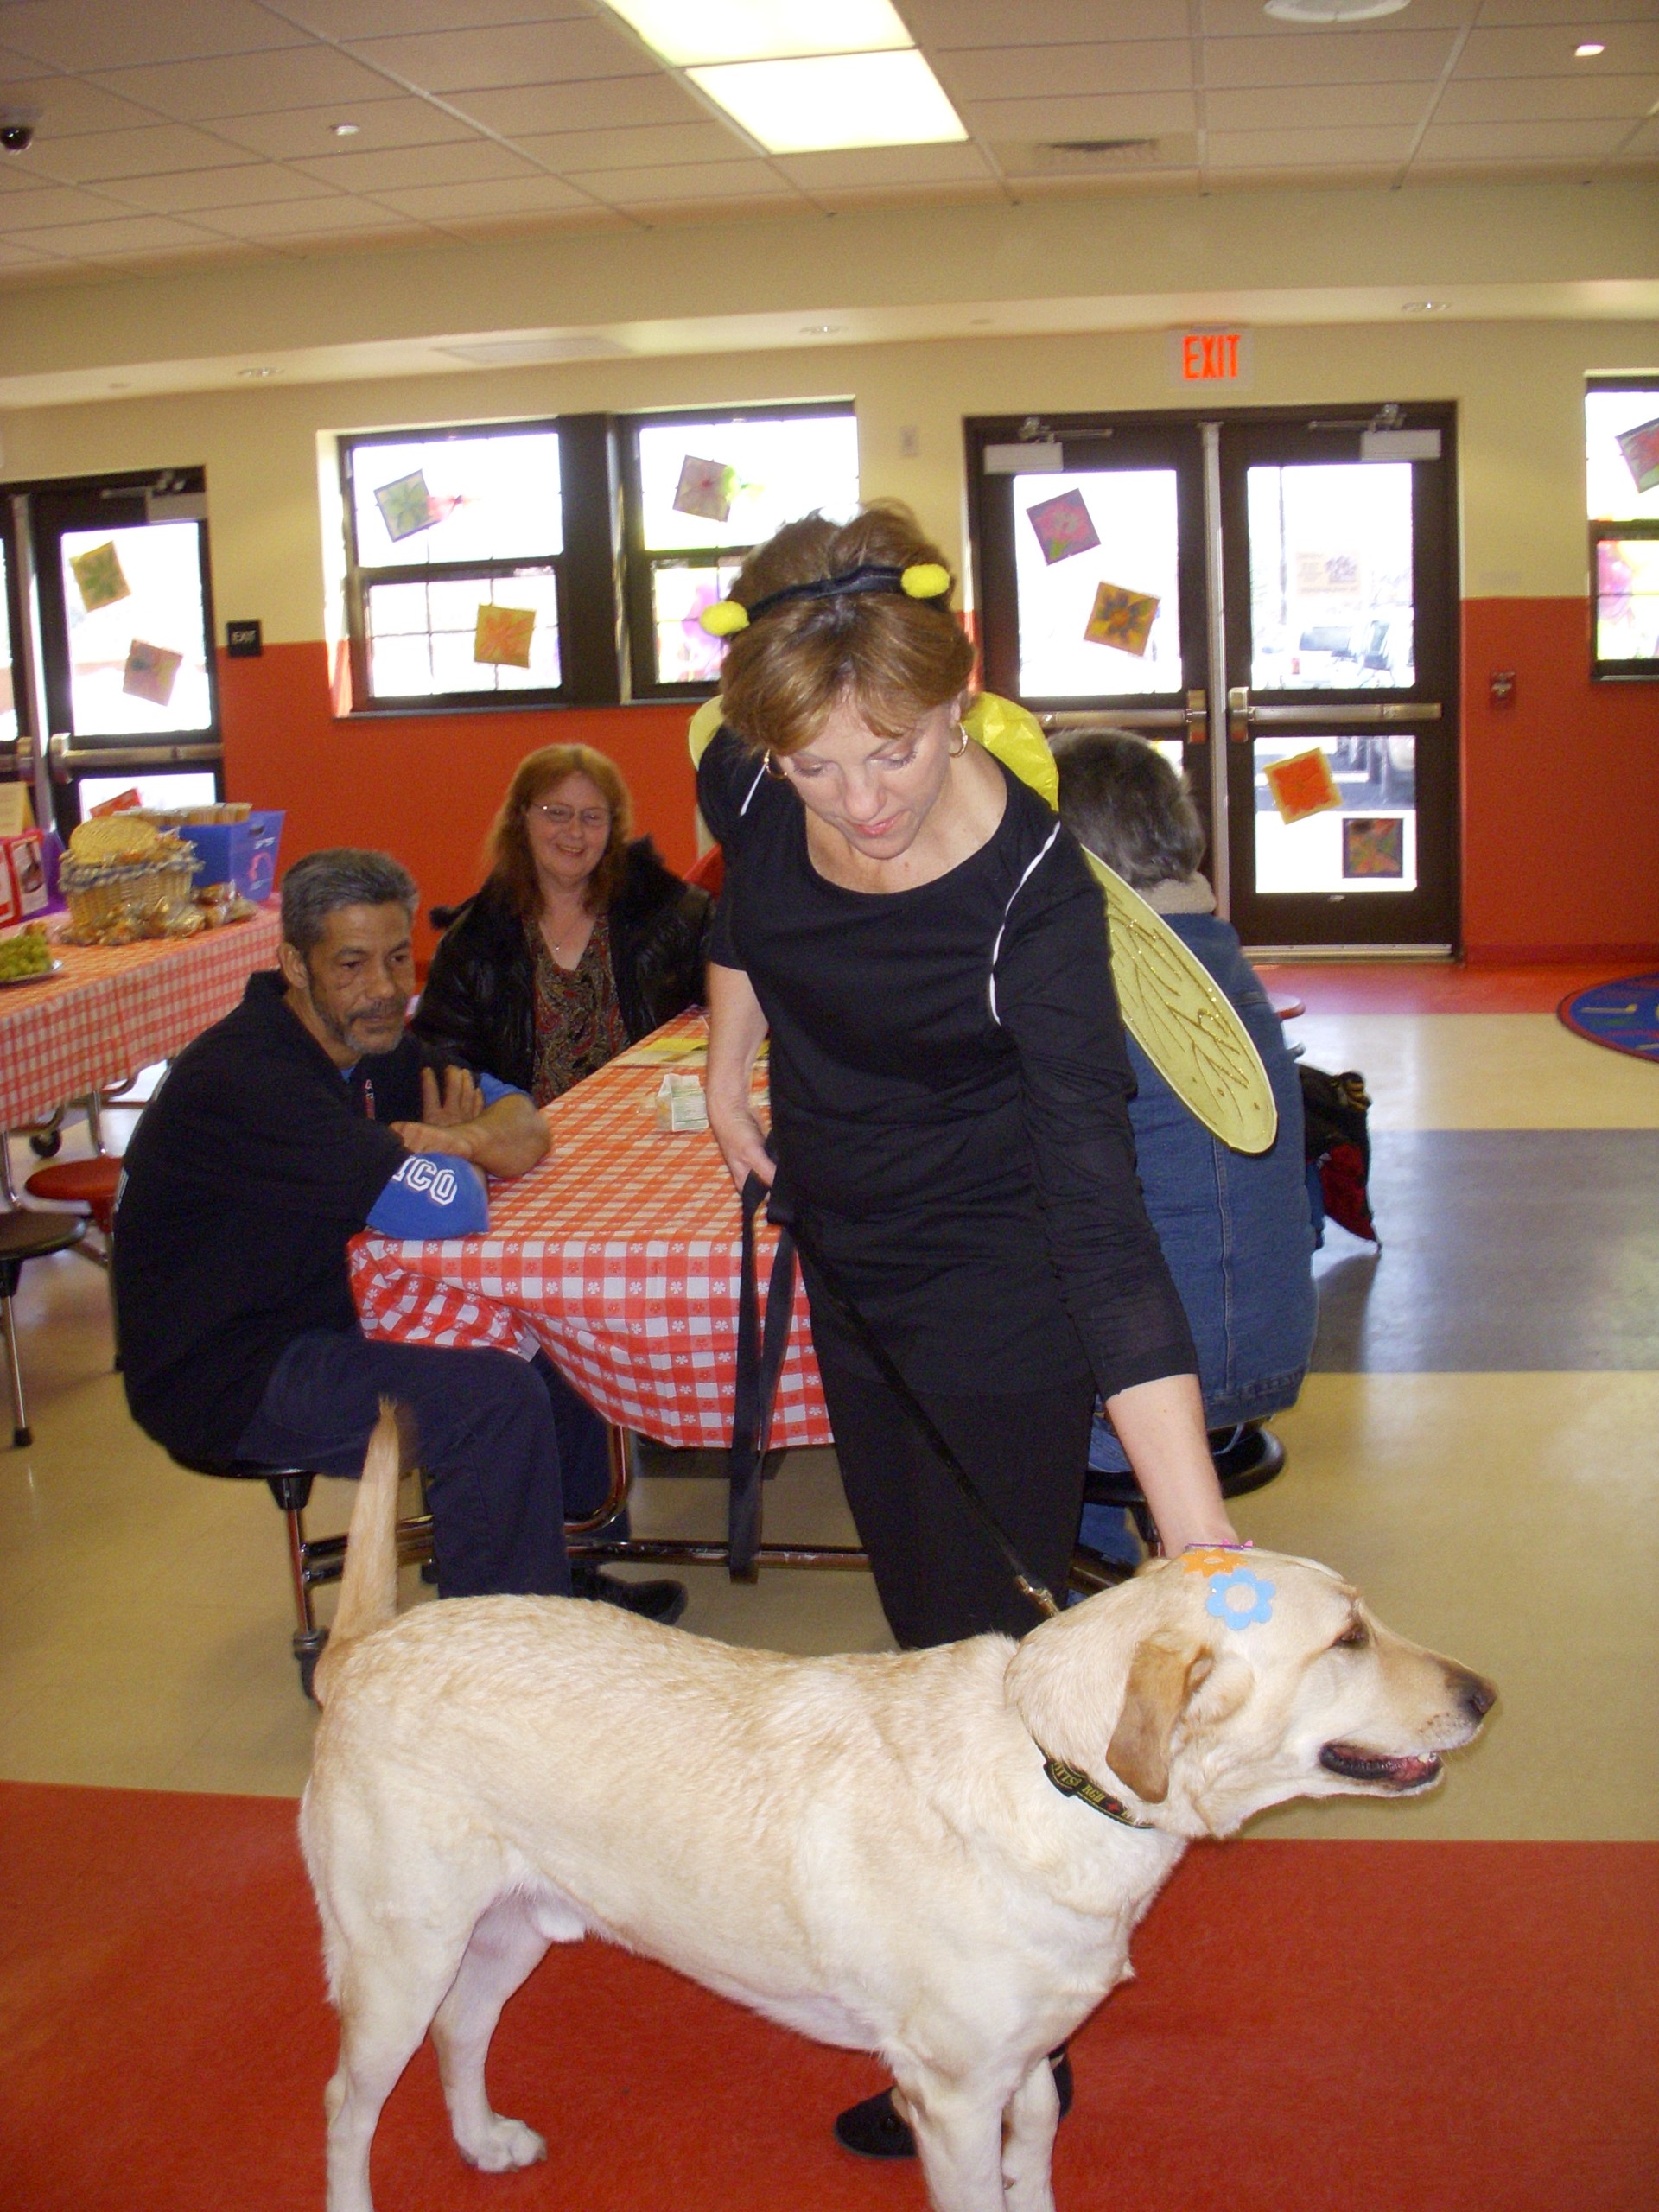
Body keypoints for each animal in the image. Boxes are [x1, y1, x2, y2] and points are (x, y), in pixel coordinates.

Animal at [305, 1415, 1503, 2212]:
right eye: (1347, 1638)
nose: (1486, 1696)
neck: (1057, 1773)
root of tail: (362, 1645)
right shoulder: (954, 2096)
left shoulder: (1028, 2072)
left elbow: (1037, 2168)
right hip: (396, 1956)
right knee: (348, 2104)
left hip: (507, 1928)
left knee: (461, 2032)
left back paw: (482, 2141)